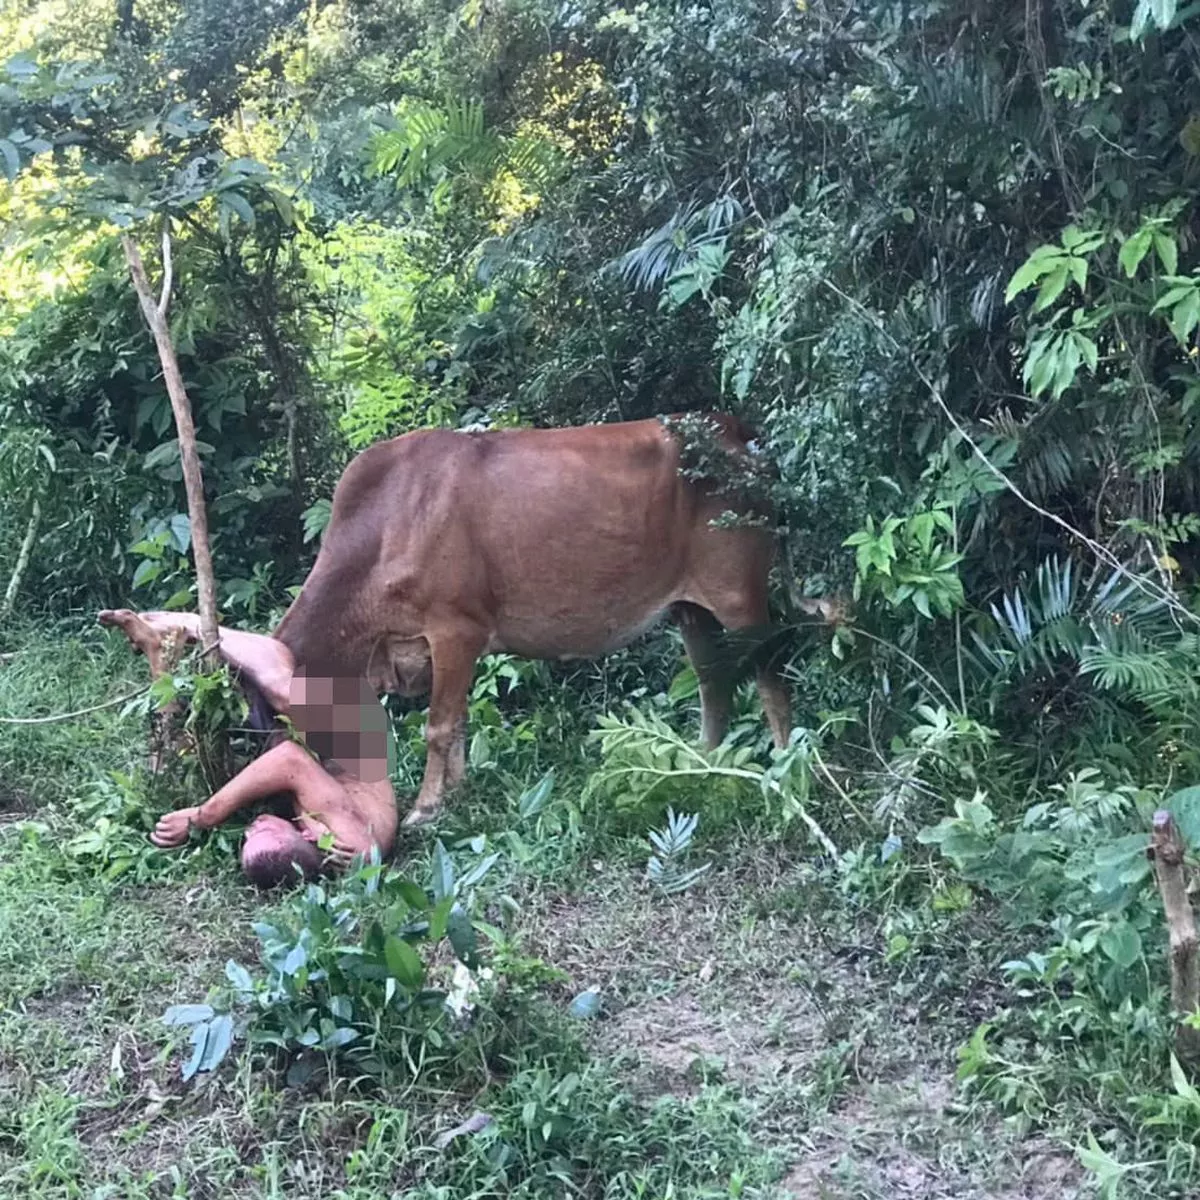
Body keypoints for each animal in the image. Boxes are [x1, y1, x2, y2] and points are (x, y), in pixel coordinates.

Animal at [273, 414, 791, 827]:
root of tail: (738, 432)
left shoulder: (455, 630)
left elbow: (439, 727)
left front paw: (425, 807)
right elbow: (458, 721)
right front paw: (456, 792)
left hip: (739, 596)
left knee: (770, 676)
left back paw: (787, 763)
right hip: (691, 610)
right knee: (712, 681)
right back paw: (702, 762)